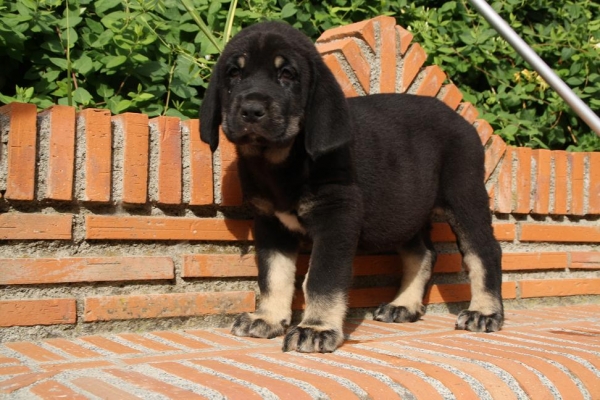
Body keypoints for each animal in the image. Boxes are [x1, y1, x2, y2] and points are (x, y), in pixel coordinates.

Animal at [200, 21, 502, 354]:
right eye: (233, 73)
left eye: (287, 74)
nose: (251, 110)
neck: (282, 161)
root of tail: (464, 121)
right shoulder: (270, 223)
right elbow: (273, 274)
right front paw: (267, 318)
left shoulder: (338, 217)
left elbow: (322, 278)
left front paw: (316, 328)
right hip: (405, 209)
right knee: (422, 254)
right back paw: (404, 305)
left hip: (465, 196)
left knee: (484, 252)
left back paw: (485, 312)